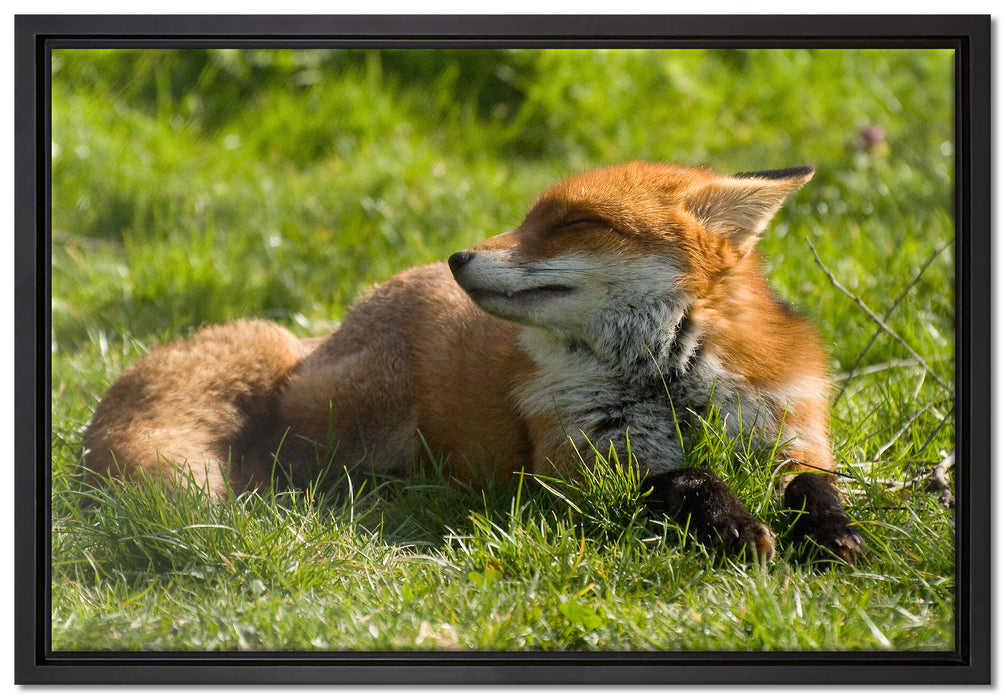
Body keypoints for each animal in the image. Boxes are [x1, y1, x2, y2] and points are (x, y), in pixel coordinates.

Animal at [83, 161, 864, 563]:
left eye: (574, 223)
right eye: (525, 218)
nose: (458, 257)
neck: (668, 384)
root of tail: (328, 330)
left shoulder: (789, 432)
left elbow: (815, 487)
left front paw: (837, 535)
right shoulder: (578, 468)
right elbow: (688, 479)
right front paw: (733, 525)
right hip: (349, 427)